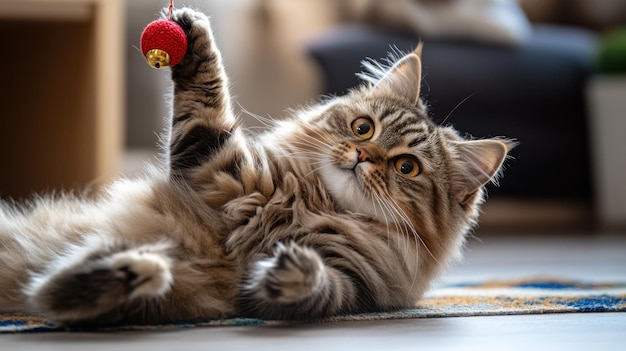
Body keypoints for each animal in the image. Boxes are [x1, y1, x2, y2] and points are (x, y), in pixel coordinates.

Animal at [0, 7, 512, 328]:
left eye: (406, 167)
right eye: (364, 128)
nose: (363, 157)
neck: (313, 204)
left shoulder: (353, 285)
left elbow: (317, 291)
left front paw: (294, 272)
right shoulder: (211, 164)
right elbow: (208, 96)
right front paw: (193, 36)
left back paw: (133, 270)